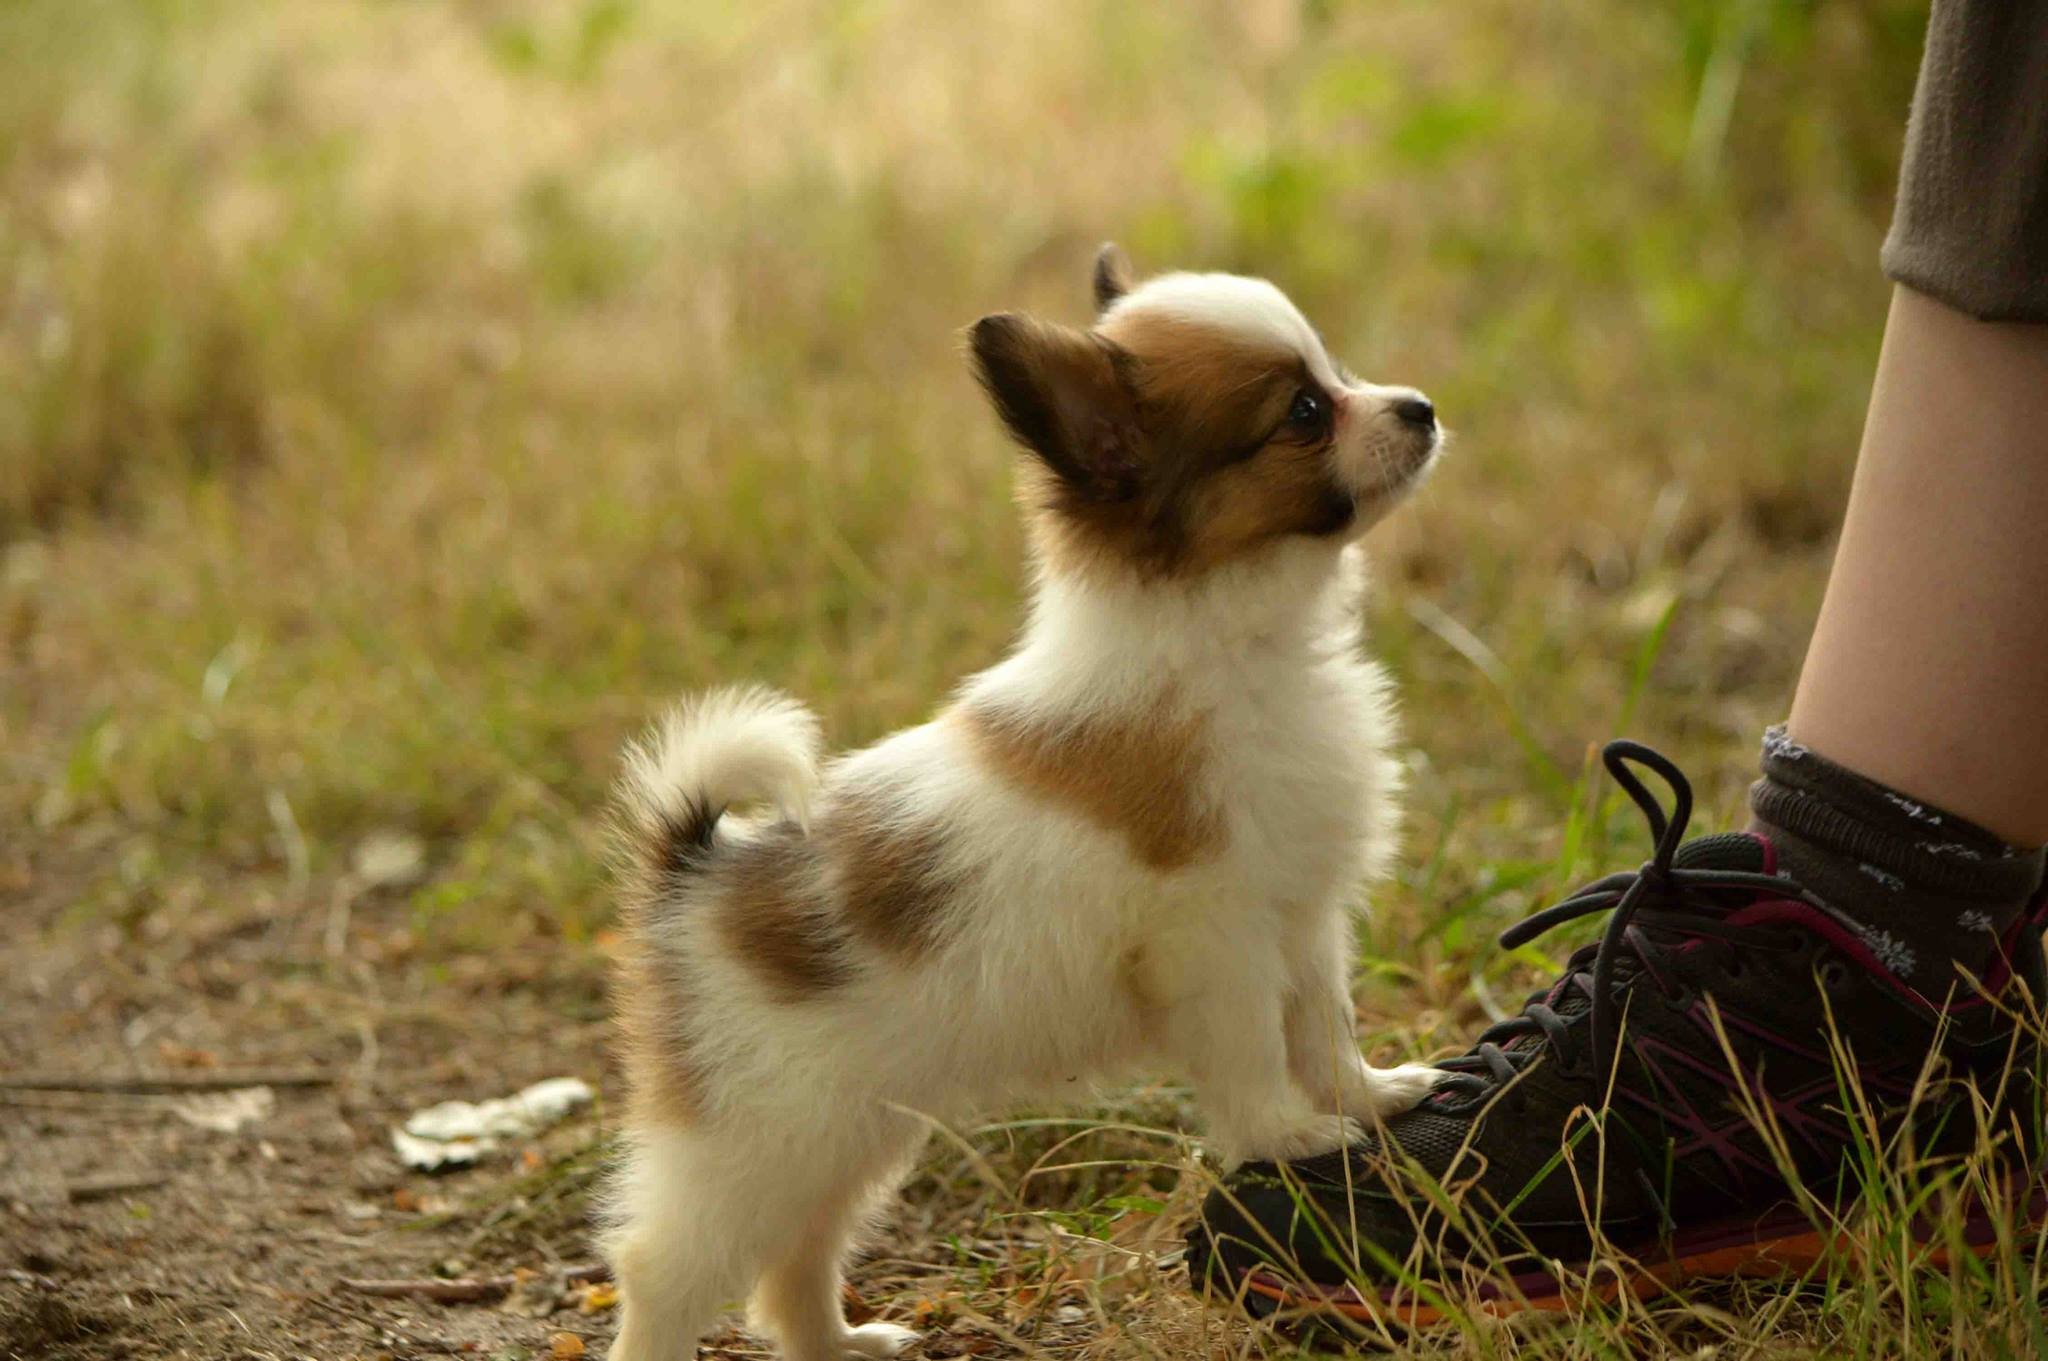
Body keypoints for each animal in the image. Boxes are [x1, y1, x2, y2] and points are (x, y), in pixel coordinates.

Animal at [602, 246, 1441, 1358]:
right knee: (664, 1266)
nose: (1421, 408)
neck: (1229, 648)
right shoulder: (1214, 943)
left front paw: (1368, 1096)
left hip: (845, 1129)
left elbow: (1322, 1026)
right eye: (1305, 412)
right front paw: (1286, 1133)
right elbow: (1256, 1051)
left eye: (1336, 371)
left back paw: (839, 1343)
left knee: (796, 1258)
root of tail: (694, 868)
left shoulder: (1302, 921)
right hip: (753, 1140)